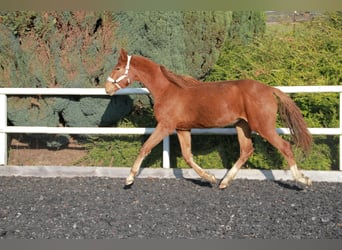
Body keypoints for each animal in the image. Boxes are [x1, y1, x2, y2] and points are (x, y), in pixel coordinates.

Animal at [105, 49, 312, 189]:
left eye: (118, 67)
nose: (107, 88)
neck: (168, 90)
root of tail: (269, 89)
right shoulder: (182, 129)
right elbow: (188, 156)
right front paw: (210, 177)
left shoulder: (165, 126)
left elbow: (145, 147)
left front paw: (129, 179)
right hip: (242, 126)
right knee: (246, 150)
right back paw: (224, 182)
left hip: (263, 126)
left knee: (285, 147)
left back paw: (303, 179)